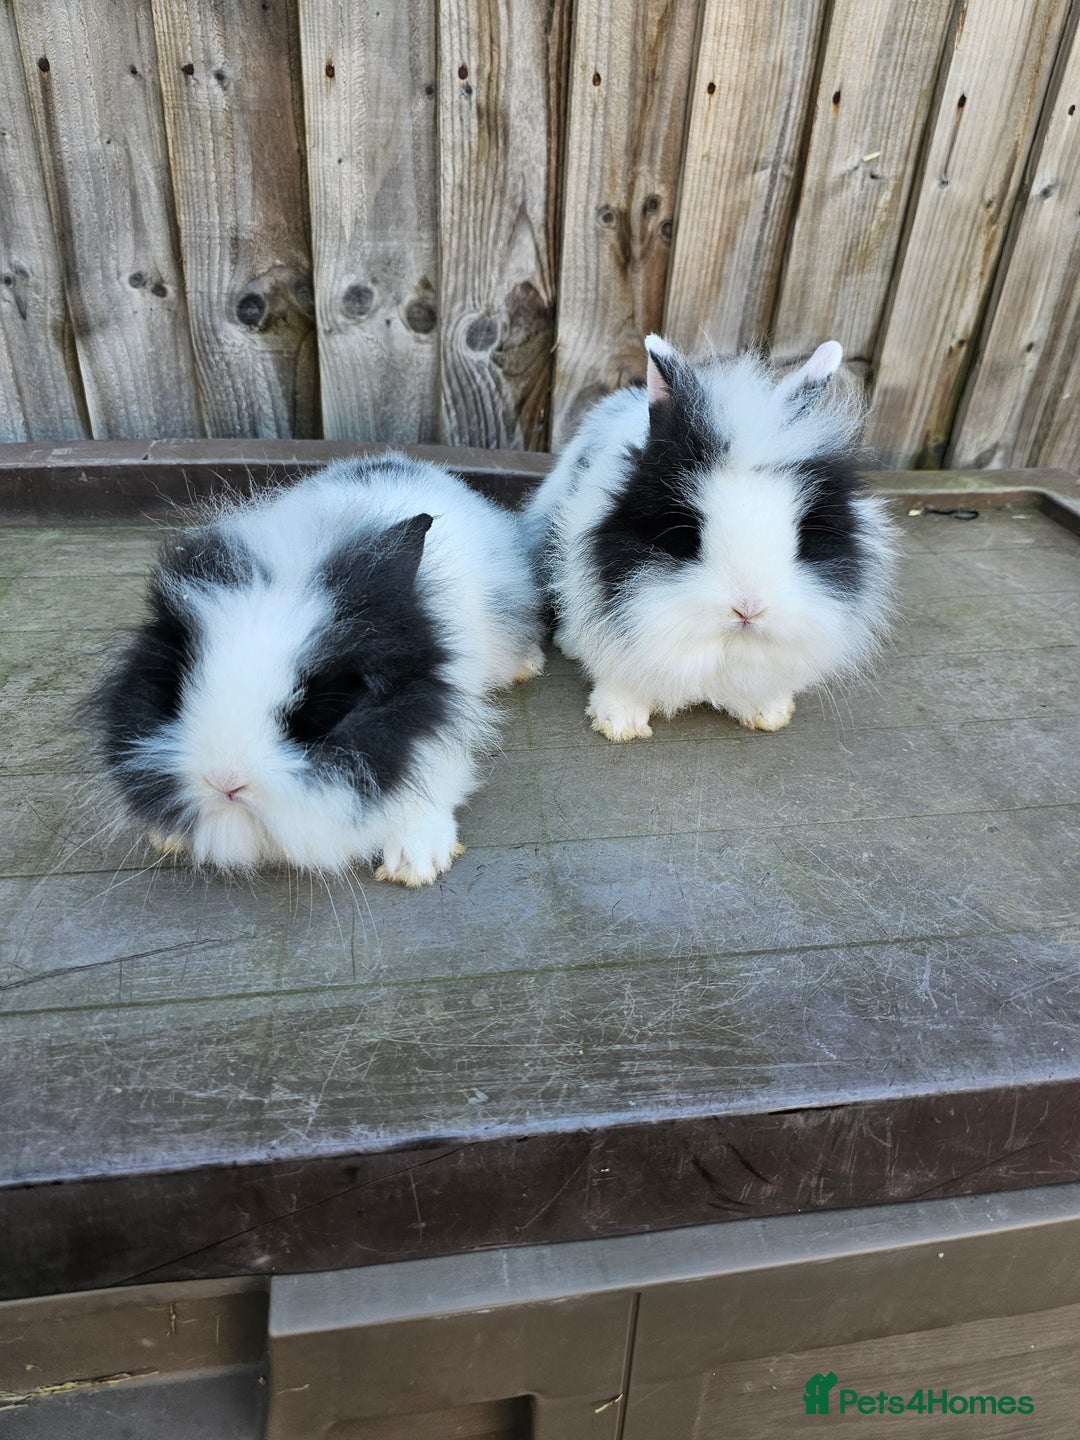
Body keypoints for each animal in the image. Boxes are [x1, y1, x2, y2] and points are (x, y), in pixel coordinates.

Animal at [84, 453, 545, 886]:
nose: (225, 782)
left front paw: (415, 862)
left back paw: (527, 666)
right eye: (176, 691)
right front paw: (169, 835)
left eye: (318, 711)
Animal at [524, 336, 896, 741]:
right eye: (687, 536)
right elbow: (620, 679)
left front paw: (769, 714)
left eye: (802, 538)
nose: (748, 609)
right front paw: (620, 724)